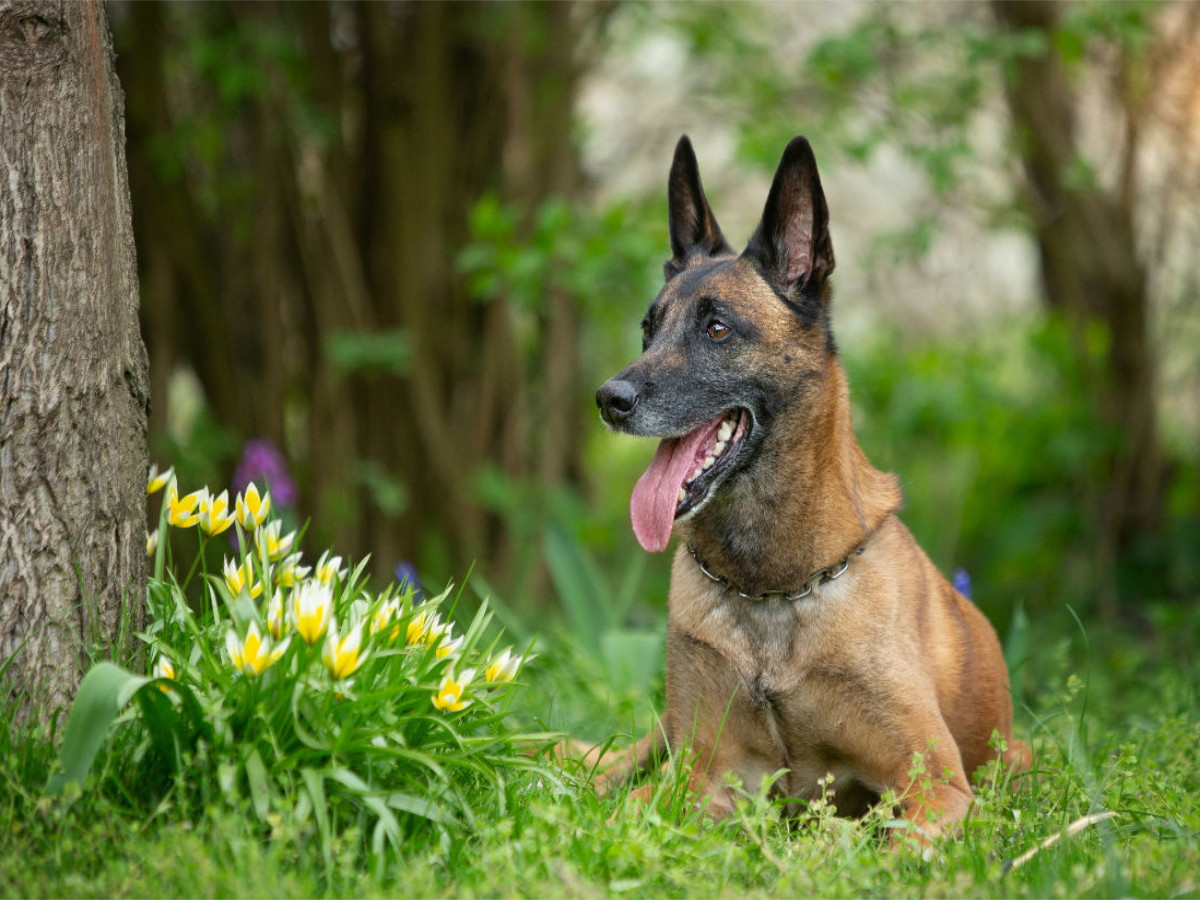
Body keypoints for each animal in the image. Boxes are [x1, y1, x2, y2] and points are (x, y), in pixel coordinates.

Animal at [595, 135, 1027, 844]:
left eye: (716, 328)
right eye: (648, 329)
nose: (610, 400)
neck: (771, 590)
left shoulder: (937, 789)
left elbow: (892, 847)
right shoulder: (701, 780)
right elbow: (622, 815)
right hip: (659, 737)